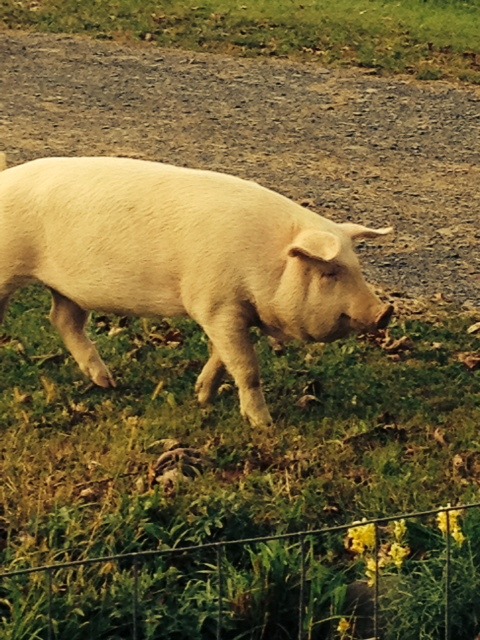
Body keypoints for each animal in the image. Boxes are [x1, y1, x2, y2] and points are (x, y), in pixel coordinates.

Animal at [0, 155, 392, 424]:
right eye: (329, 273)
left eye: (357, 268)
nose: (385, 312)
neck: (269, 262)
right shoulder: (217, 303)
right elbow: (246, 367)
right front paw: (263, 424)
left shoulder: (228, 310)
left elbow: (223, 356)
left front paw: (201, 397)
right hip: (8, 268)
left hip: (68, 288)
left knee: (62, 319)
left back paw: (107, 383)